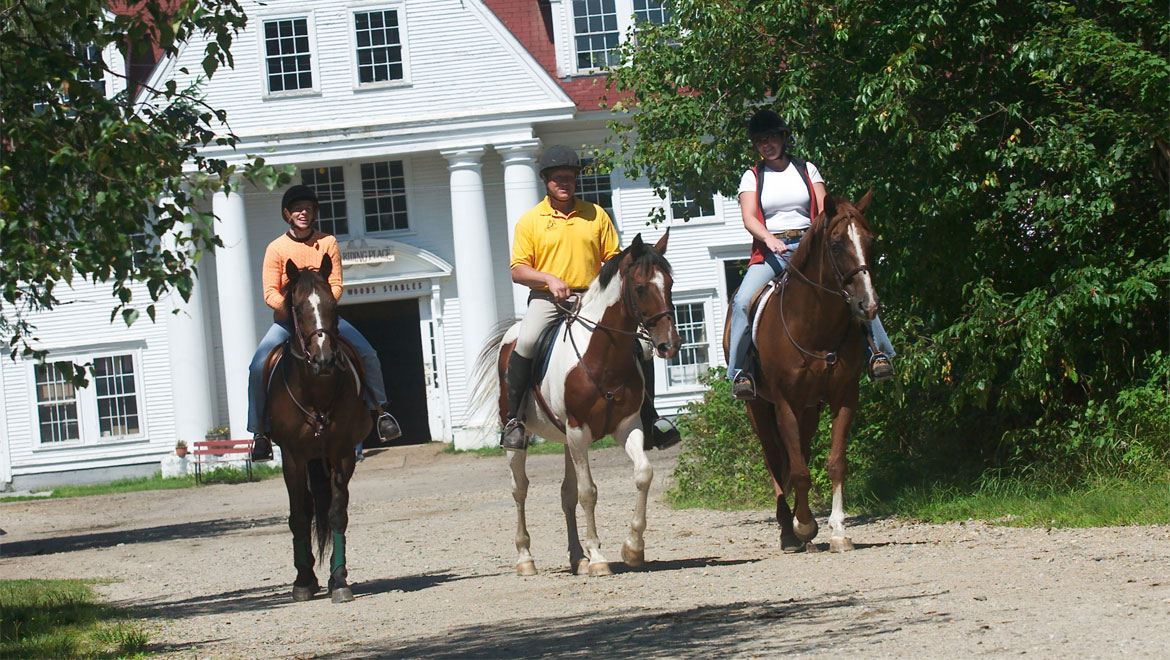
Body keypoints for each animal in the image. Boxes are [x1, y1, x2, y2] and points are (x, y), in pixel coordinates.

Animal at [265, 253, 369, 603]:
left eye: (332, 305)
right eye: (297, 308)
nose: (323, 359)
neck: (316, 394)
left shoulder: (342, 454)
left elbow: (337, 514)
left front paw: (339, 580)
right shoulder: (292, 458)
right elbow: (298, 517)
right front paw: (303, 581)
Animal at [472, 234, 683, 575]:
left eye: (670, 283)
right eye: (640, 287)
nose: (669, 344)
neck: (602, 356)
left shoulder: (627, 427)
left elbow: (642, 474)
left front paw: (633, 548)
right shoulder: (578, 431)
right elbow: (588, 492)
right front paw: (598, 557)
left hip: (566, 441)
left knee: (565, 494)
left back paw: (577, 558)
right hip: (527, 436)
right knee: (520, 489)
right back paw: (526, 558)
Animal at [720, 189, 879, 552]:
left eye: (870, 240)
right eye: (836, 244)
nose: (868, 305)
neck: (816, 327)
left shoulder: (843, 396)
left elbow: (835, 463)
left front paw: (837, 530)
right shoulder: (784, 404)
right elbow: (798, 471)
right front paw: (803, 526)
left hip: (810, 408)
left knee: (799, 453)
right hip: (759, 408)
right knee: (775, 461)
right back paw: (788, 532)